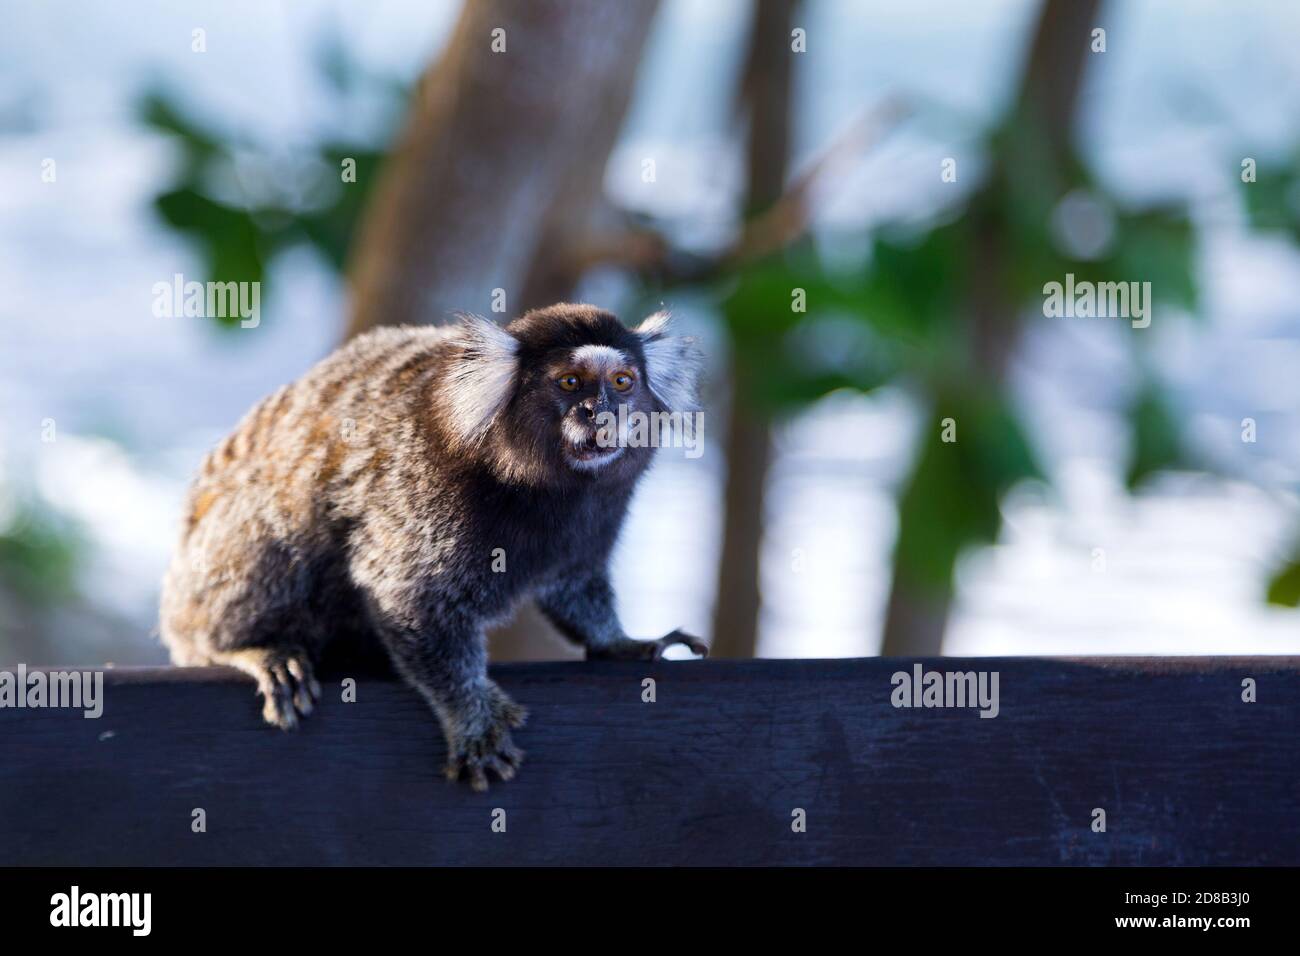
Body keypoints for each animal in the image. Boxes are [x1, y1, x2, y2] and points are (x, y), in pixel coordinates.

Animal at [166, 303, 712, 790]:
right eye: (570, 383)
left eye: (621, 382)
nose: (600, 415)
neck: (539, 487)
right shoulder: (425, 492)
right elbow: (411, 600)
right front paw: (470, 714)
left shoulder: (597, 514)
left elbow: (574, 582)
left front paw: (619, 641)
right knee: (278, 524)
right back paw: (245, 648)